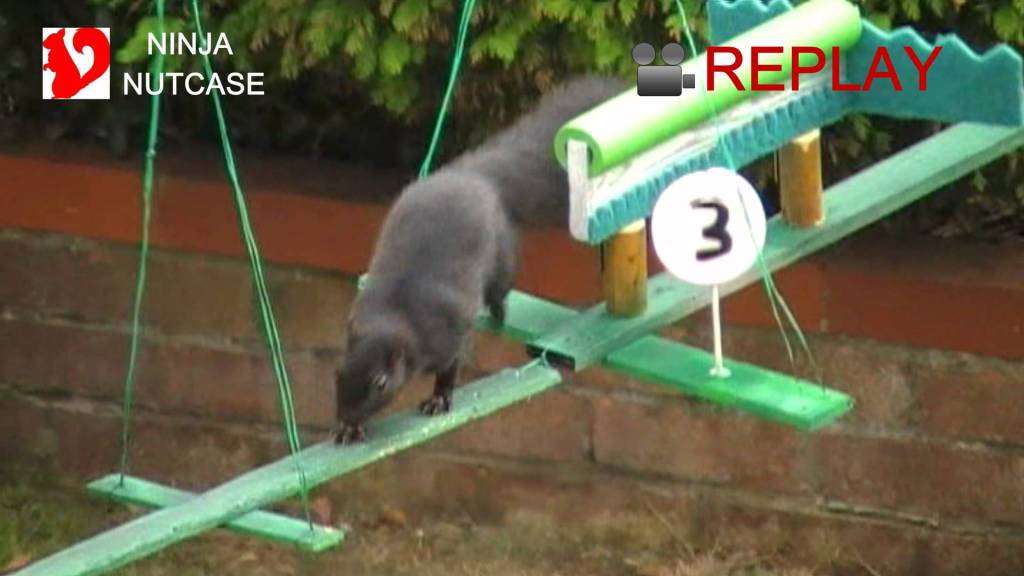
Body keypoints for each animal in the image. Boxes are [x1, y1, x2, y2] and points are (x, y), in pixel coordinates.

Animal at [334, 75, 629, 444]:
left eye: (380, 383)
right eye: (336, 372)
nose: (345, 414)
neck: (397, 310)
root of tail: (477, 175)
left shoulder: (447, 332)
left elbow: (450, 368)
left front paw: (438, 399)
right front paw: (349, 428)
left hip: (502, 255)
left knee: (501, 287)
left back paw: (498, 312)